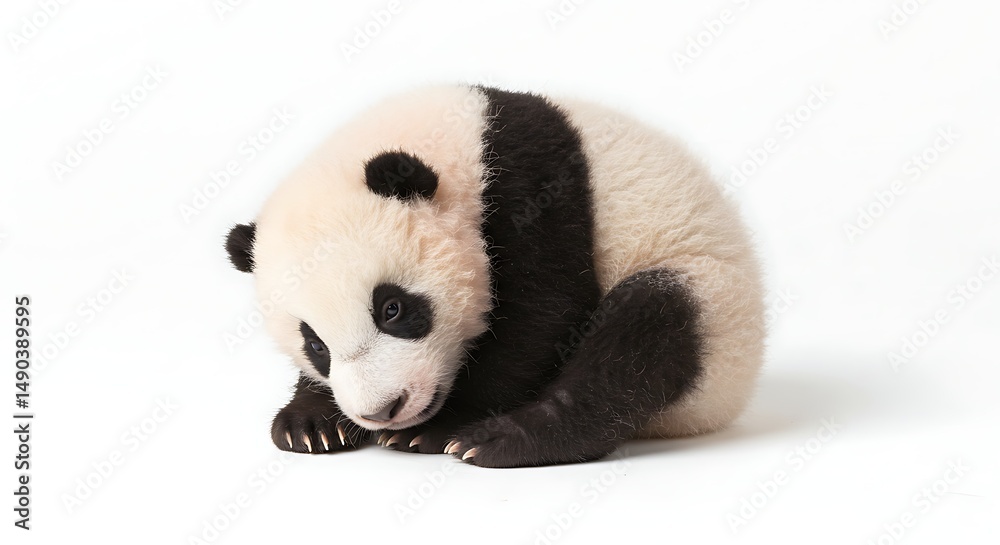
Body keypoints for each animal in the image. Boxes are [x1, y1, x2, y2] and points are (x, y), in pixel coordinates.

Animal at [225, 85, 765, 468]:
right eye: (315, 343)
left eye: (392, 309)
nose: (383, 410)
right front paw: (311, 423)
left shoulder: (535, 190)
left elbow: (542, 318)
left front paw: (436, 429)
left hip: (713, 303)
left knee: (640, 342)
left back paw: (503, 440)